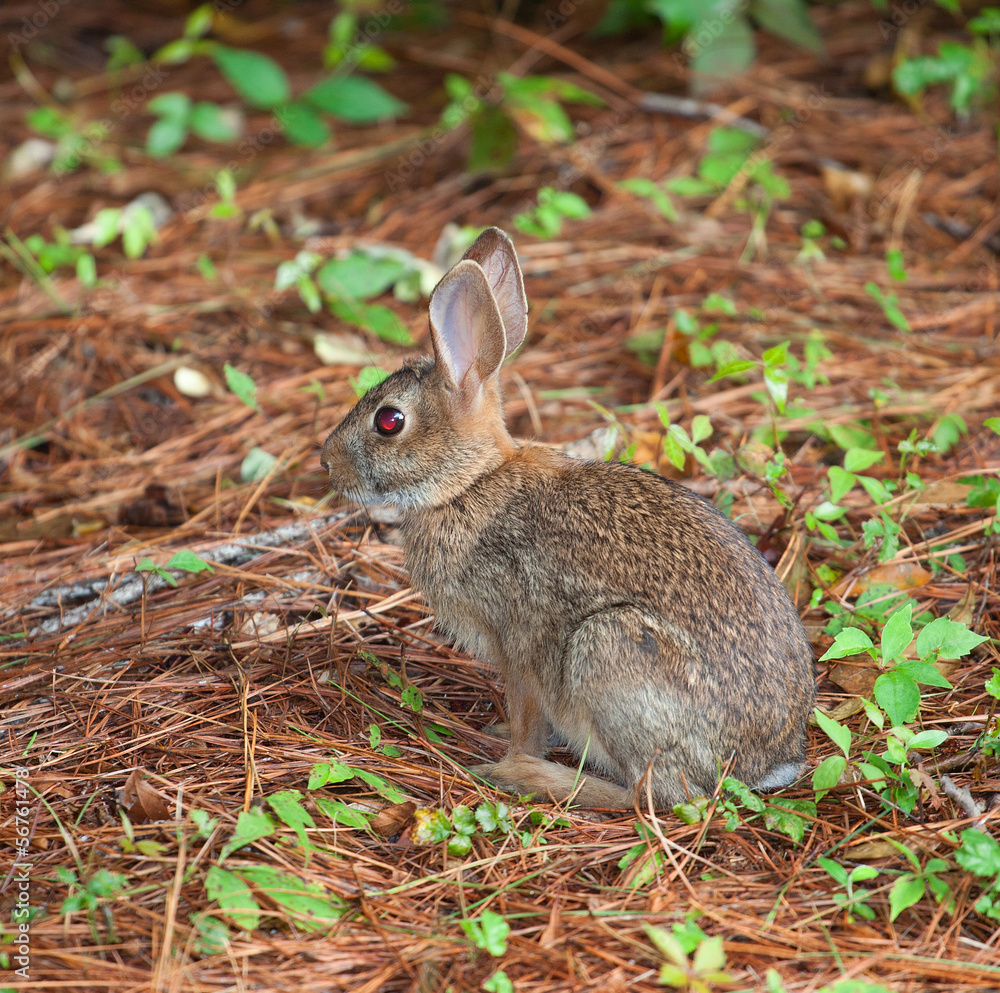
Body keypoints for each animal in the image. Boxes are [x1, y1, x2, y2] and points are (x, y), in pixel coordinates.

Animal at [320, 227, 816, 809]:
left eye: (389, 421)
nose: (326, 462)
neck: (469, 484)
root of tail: (769, 763)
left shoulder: (517, 643)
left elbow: (528, 719)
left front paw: (511, 752)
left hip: (608, 651)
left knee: (658, 795)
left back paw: (529, 776)